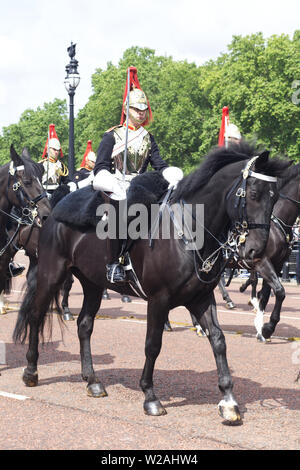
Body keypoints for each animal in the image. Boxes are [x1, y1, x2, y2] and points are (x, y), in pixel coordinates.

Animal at [12, 145, 290, 424]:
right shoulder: (159, 299)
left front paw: (229, 401)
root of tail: (53, 210)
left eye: (275, 197)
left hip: (92, 284)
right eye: (253, 194)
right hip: (52, 274)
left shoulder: (201, 297)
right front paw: (150, 396)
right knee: (36, 315)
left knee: (84, 325)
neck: (190, 231)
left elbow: (219, 340)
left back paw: (92, 380)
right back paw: (31, 371)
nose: (256, 251)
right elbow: (153, 344)